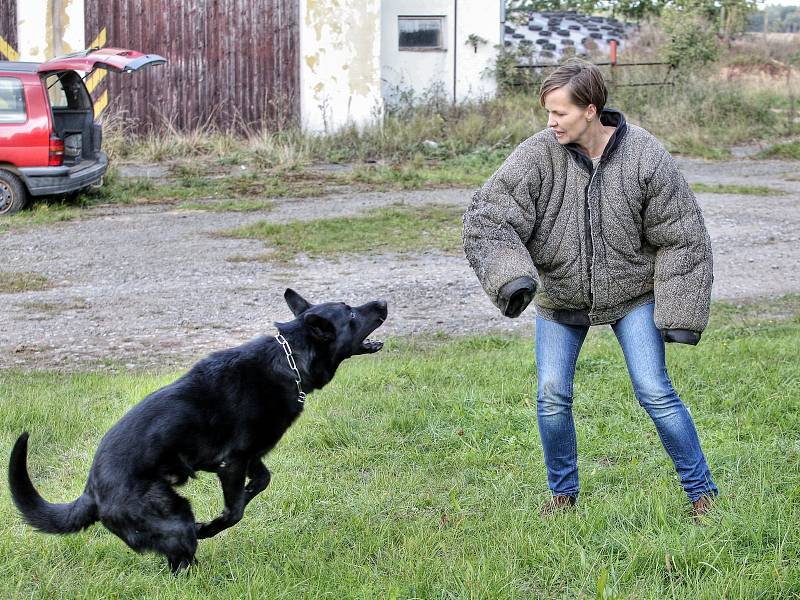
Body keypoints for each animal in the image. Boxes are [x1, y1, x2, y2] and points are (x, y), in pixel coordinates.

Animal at [8, 290, 388, 572]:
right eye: (351, 314)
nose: (384, 302)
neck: (290, 359)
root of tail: (91, 491)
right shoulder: (231, 462)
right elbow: (234, 512)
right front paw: (213, 525)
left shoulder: (249, 456)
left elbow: (262, 481)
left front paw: (248, 492)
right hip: (174, 518)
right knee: (181, 558)